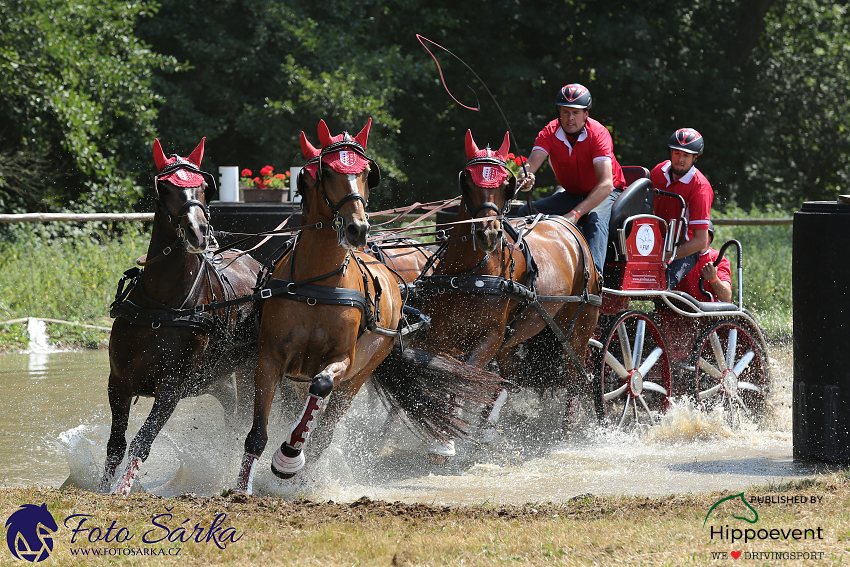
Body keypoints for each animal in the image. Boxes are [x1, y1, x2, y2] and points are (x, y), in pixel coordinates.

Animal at [100, 138, 260, 496]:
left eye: (202, 186)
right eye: (167, 187)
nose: (198, 231)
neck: (161, 306)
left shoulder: (170, 389)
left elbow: (142, 441)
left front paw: (121, 491)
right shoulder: (118, 382)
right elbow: (116, 444)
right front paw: (102, 487)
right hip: (218, 380)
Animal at [378, 130, 604, 462]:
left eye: (504, 184)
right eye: (468, 181)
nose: (488, 233)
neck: (472, 274)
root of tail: (565, 224)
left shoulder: (489, 337)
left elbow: (464, 377)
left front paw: (446, 441)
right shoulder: (438, 337)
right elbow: (449, 378)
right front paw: (442, 438)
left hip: (575, 330)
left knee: (576, 379)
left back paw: (566, 436)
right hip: (514, 339)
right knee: (509, 378)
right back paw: (487, 431)